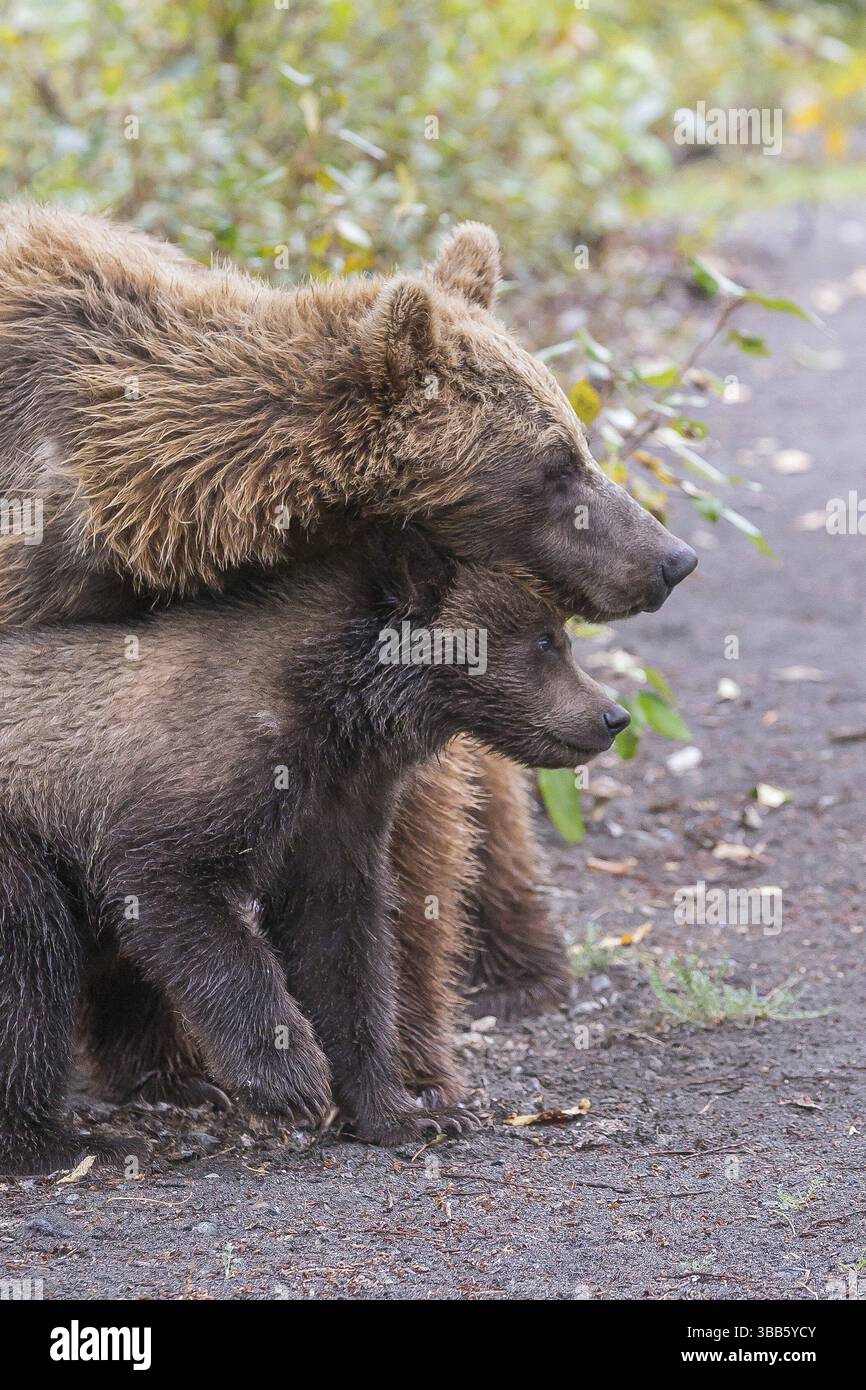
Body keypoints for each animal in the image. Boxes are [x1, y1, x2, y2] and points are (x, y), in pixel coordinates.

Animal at [0, 202, 696, 1101]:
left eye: (579, 446)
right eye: (556, 465)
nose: (671, 558)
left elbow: (398, 849)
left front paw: (409, 1063)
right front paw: (171, 1055)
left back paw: (523, 965)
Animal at [0, 523, 630, 1174]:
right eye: (544, 640)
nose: (614, 715)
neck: (335, 711)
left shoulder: (340, 808)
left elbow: (341, 947)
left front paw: (407, 1113)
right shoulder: (197, 773)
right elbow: (176, 893)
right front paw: (291, 1078)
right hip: (20, 852)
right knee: (32, 963)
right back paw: (62, 1141)